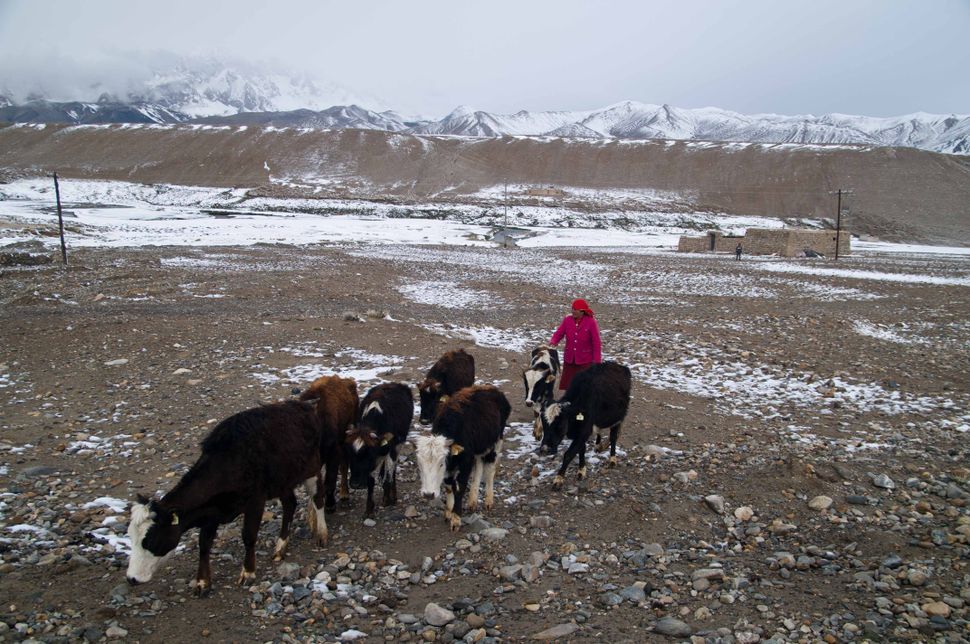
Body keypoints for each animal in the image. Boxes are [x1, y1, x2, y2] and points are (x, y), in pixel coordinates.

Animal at [126, 400, 330, 596]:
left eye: (149, 540)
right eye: (130, 536)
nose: (131, 579)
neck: (227, 465)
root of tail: (304, 407)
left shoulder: (255, 500)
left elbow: (248, 536)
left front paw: (248, 573)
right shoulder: (211, 512)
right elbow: (204, 543)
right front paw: (202, 582)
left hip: (311, 469)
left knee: (318, 498)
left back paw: (321, 535)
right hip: (282, 481)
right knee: (290, 504)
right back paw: (280, 547)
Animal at [344, 382, 412, 520]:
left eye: (369, 454)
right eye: (349, 453)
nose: (355, 484)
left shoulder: (390, 448)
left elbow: (388, 475)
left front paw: (387, 499)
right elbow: (371, 481)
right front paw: (369, 509)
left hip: (399, 445)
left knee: (393, 470)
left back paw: (393, 496)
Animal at [412, 384, 510, 532]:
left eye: (441, 464)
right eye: (420, 465)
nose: (428, 495)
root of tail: (493, 390)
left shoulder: (465, 462)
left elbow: (459, 488)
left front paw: (456, 519)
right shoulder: (453, 464)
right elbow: (448, 486)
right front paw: (448, 511)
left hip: (496, 441)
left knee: (490, 469)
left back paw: (488, 500)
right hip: (479, 447)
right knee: (479, 468)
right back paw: (472, 502)